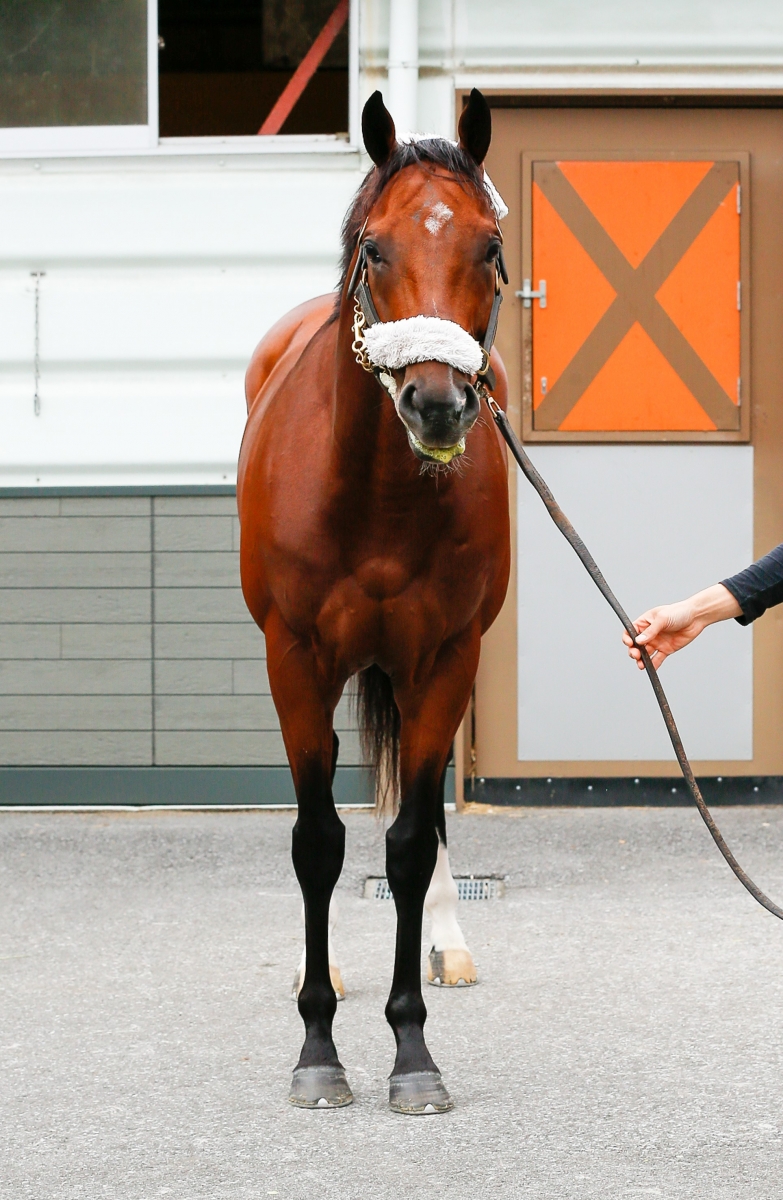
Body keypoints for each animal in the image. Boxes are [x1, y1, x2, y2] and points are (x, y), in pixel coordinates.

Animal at [235, 87, 511, 1113]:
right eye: (377, 248)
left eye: (487, 245)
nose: (436, 404)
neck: (378, 496)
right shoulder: (294, 660)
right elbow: (316, 841)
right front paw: (318, 1045)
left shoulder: (445, 661)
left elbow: (407, 846)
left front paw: (411, 1051)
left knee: (421, 827)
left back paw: (448, 946)